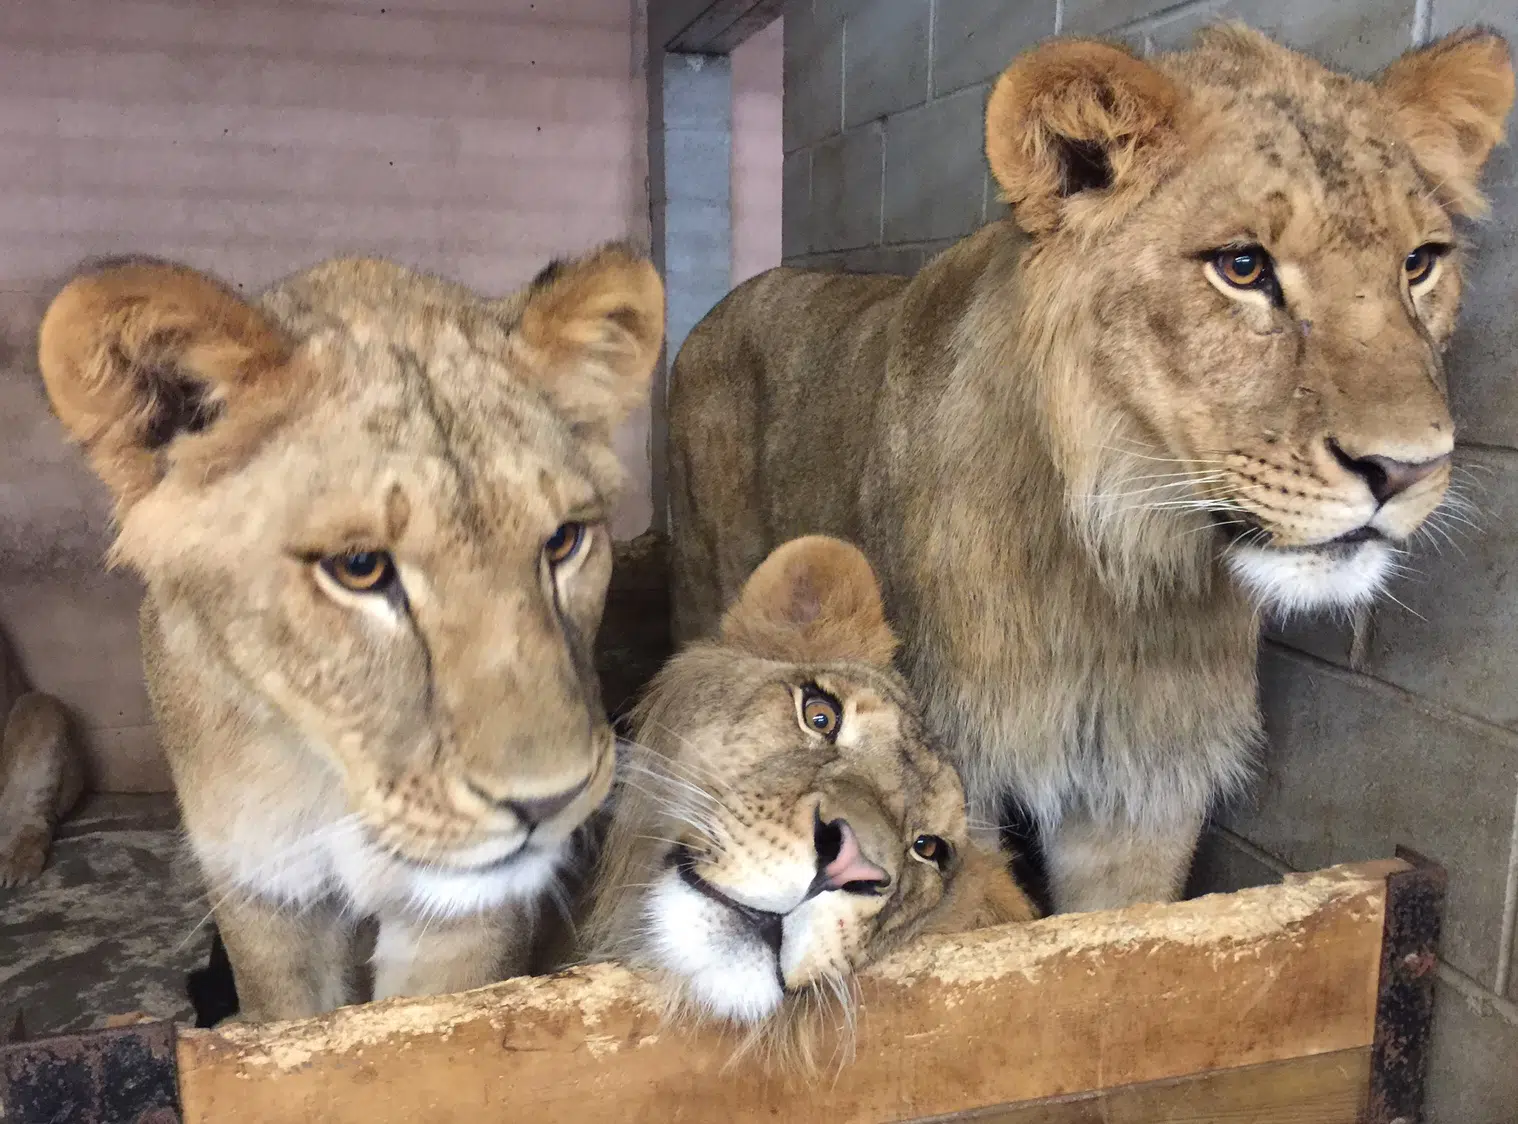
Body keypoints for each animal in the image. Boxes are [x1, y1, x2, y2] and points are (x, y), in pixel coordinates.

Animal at [34, 243, 664, 1020]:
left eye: (563, 541)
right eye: (360, 568)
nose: (549, 803)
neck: (336, 787)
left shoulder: (460, 917)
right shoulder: (264, 898)